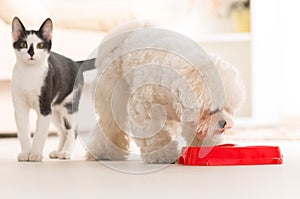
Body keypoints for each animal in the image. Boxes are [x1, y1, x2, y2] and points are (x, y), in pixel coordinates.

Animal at [11, 16, 94, 161]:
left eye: (40, 45)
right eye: (23, 45)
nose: (31, 53)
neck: (29, 73)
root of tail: (76, 63)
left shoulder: (44, 108)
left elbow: (40, 133)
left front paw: (35, 154)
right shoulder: (20, 107)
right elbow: (23, 132)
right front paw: (26, 153)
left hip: (68, 106)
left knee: (73, 129)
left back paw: (66, 152)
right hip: (55, 111)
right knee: (63, 130)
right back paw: (58, 151)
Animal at [85, 21, 245, 164]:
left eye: (228, 109)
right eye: (211, 110)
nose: (224, 123)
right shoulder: (144, 108)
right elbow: (152, 133)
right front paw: (163, 155)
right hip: (113, 91)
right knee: (110, 123)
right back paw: (104, 152)